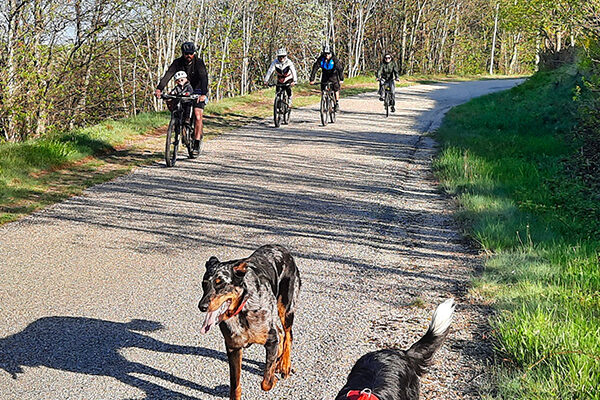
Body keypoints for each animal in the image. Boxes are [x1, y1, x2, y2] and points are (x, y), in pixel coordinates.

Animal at [198, 244, 300, 400]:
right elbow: (235, 385)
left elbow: (266, 383)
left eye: (220, 284)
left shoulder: (271, 340)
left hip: (286, 308)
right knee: (281, 334)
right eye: (204, 284)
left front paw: (273, 378)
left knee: (288, 335)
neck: (242, 311)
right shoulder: (233, 348)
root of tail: (282, 249)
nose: (201, 306)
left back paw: (285, 365)